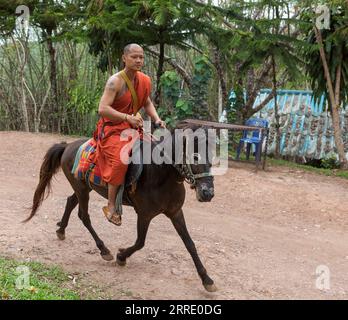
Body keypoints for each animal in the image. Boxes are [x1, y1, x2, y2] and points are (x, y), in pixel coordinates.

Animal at [26, 121, 218, 292]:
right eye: (195, 156)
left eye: (213, 156)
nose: (207, 193)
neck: (161, 174)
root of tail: (68, 146)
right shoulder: (144, 215)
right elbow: (140, 242)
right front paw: (121, 256)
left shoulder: (175, 212)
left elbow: (190, 244)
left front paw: (206, 279)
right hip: (81, 189)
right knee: (84, 216)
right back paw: (103, 249)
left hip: (84, 187)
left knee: (70, 202)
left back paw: (61, 230)